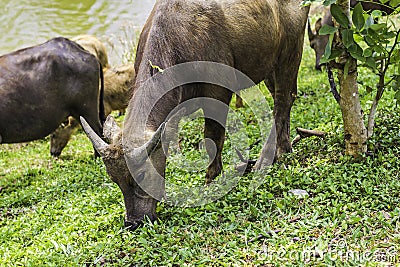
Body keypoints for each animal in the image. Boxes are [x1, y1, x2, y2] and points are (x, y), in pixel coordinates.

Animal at [82, 0, 310, 230]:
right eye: (114, 179)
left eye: (141, 174)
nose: (133, 222)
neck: (177, 42)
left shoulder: (218, 94)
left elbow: (212, 139)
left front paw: (211, 182)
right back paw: (284, 148)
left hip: (291, 50)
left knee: (283, 99)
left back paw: (265, 159)